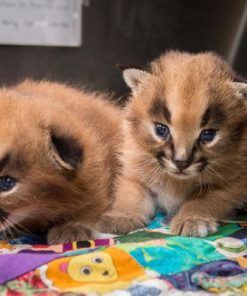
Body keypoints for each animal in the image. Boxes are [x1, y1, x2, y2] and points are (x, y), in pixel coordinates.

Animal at [99, 50, 247, 236]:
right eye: (161, 129)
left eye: (208, 135)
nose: (181, 162)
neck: (176, 181)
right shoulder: (133, 172)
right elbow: (131, 194)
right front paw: (123, 216)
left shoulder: (230, 184)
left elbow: (203, 201)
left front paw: (191, 220)